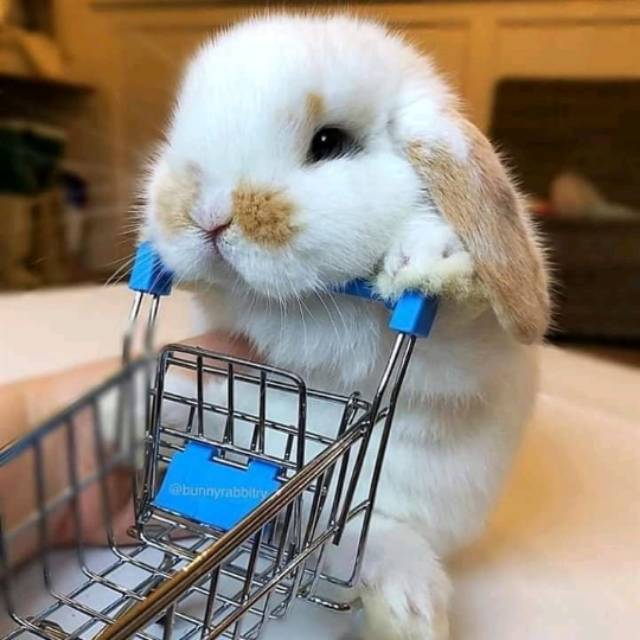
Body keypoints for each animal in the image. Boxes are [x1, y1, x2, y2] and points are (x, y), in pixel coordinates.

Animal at [139, 13, 550, 640]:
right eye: (181, 130)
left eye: (329, 142)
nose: (206, 216)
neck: (305, 305)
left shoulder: (465, 356)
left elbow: (453, 307)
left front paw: (426, 259)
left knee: (365, 536)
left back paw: (409, 608)